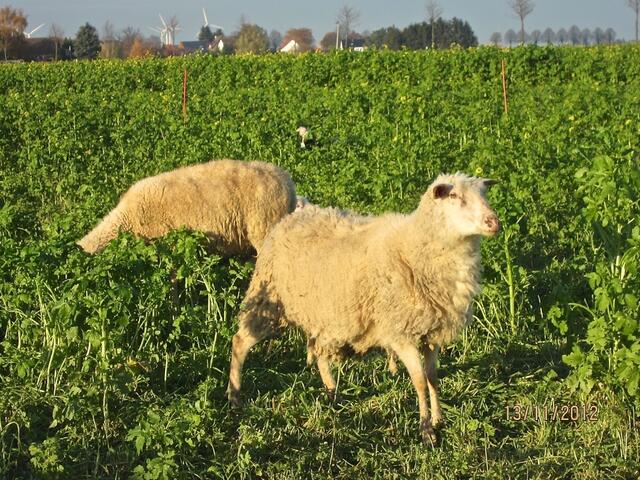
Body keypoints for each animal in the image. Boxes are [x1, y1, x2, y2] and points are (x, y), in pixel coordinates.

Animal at [226, 173, 499, 442]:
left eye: (484, 194)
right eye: (454, 196)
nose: (493, 222)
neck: (415, 248)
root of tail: (295, 214)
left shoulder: (431, 333)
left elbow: (433, 378)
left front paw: (438, 419)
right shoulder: (401, 334)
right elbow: (420, 381)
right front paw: (426, 431)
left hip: (322, 312)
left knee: (319, 352)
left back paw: (332, 392)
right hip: (269, 300)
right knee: (240, 342)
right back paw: (234, 396)